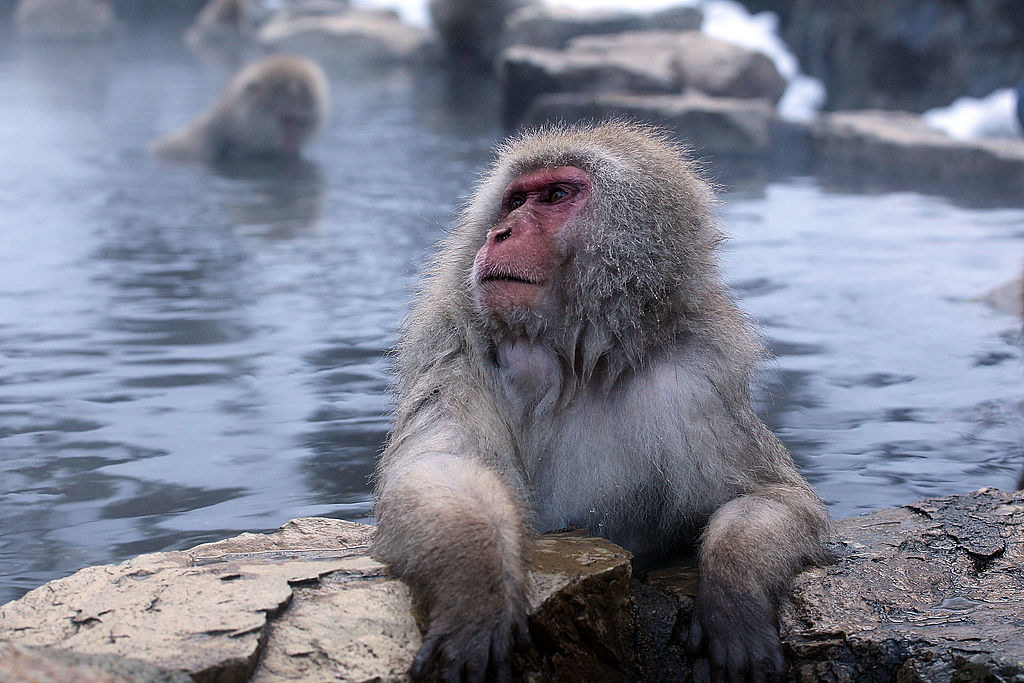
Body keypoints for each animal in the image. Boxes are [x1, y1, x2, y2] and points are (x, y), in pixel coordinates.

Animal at [372, 120, 827, 679]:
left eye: (555, 196)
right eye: (514, 201)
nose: (500, 234)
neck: (571, 365)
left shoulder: (692, 386)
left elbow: (771, 496)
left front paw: (735, 599)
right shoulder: (457, 358)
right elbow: (441, 468)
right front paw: (477, 593)